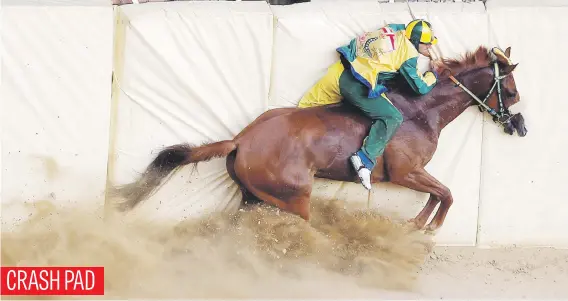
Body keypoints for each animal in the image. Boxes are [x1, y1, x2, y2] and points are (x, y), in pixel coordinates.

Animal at [111, 45, 528, 231]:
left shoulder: (414, 173)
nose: (519, 126)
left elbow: (439, 193)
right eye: (510, 90)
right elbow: (446, 193)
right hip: (294, 197)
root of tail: (242, 139)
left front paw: (416, 225)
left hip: (252, 197)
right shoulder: (404, 171)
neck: (421, 111)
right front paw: (426, 227)